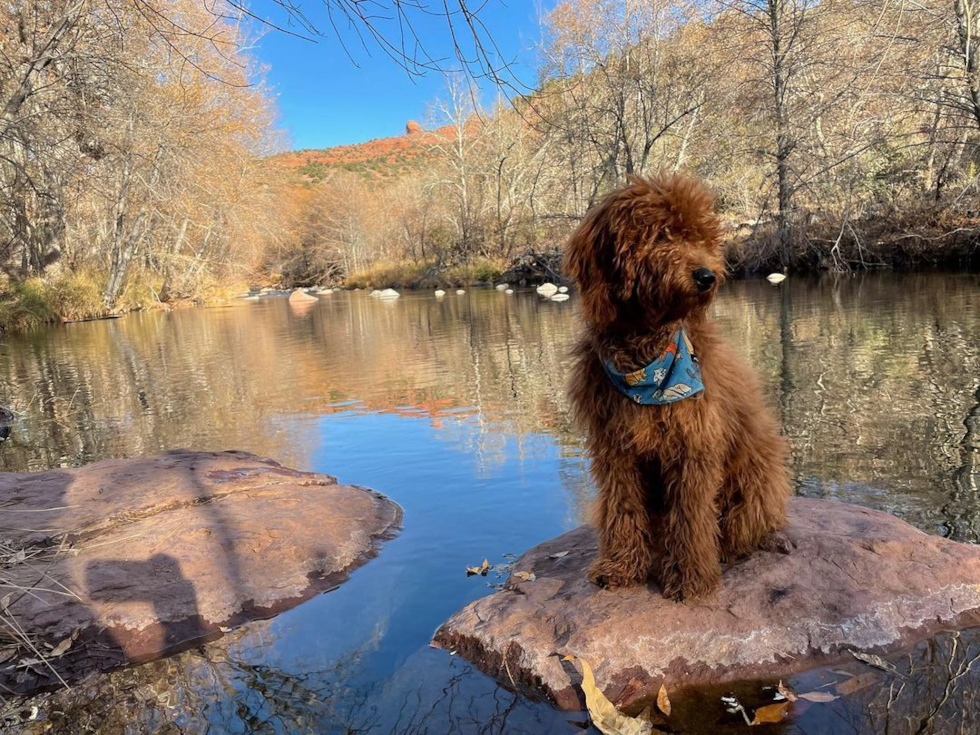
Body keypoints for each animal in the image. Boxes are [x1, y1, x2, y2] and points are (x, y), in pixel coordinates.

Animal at [564, 174, 792, 604]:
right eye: (661, 235)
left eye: (703, 237)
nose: (707, 276)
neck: (646, 360)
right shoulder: (614, 448)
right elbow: (622, 507)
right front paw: (621, 567)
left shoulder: (693, 445)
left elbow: (689, 516)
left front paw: (689, 578)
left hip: (754, 486)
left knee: (740, 530)